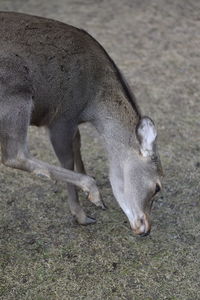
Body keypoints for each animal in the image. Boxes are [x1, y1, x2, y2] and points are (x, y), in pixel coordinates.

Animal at [0, 11, 162, 237]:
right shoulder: (61, 117)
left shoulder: (73, 121)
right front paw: (84, 210)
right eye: (157, 187)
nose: (146, 228)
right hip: (16, 96)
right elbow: (66, 160)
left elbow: (78, 143)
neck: (91, 104)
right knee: (14, 154)